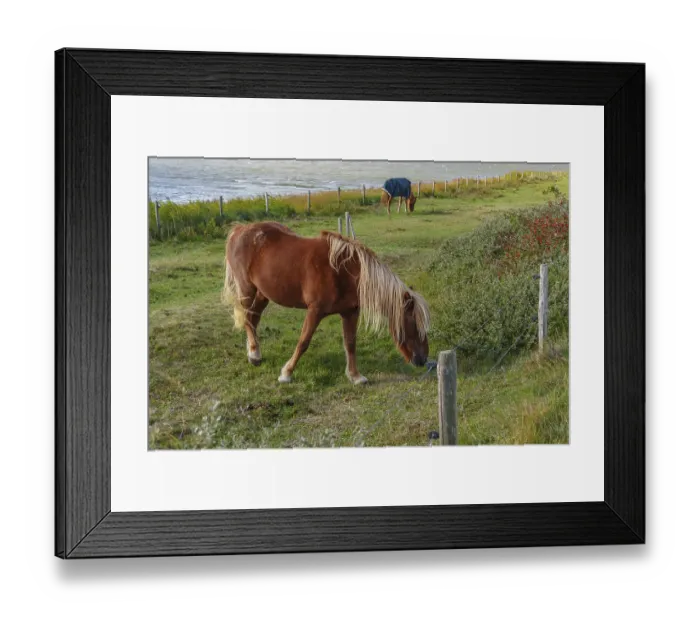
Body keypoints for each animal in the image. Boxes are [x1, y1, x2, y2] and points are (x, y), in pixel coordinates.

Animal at [222, 222, 430, 384]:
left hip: (263, 294)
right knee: (248, 319)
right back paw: (255, 355)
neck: (344, 272)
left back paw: (253, 353)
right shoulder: (315, 311)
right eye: (413, 324)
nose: (423, 359)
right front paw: (287, 373)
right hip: (247, 290)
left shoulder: (350, 312)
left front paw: (355, 376)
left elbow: (350, 343)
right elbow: (303, 342)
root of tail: (239, 229)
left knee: (253, 319)